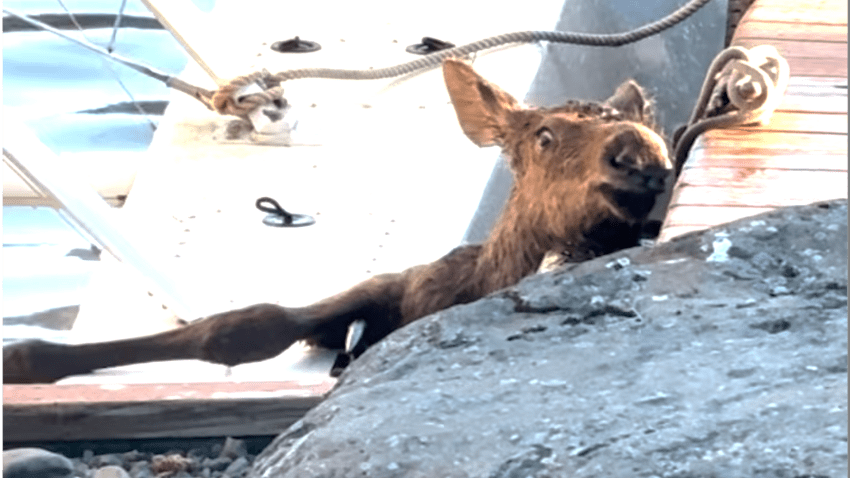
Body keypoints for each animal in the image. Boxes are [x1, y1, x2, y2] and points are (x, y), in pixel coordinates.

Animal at [3, 58, 672, 382]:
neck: (491, 278)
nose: (638, 152)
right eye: (543, 135)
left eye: (646, 124)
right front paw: (28, 357)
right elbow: (247, 322)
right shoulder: (392, 285)